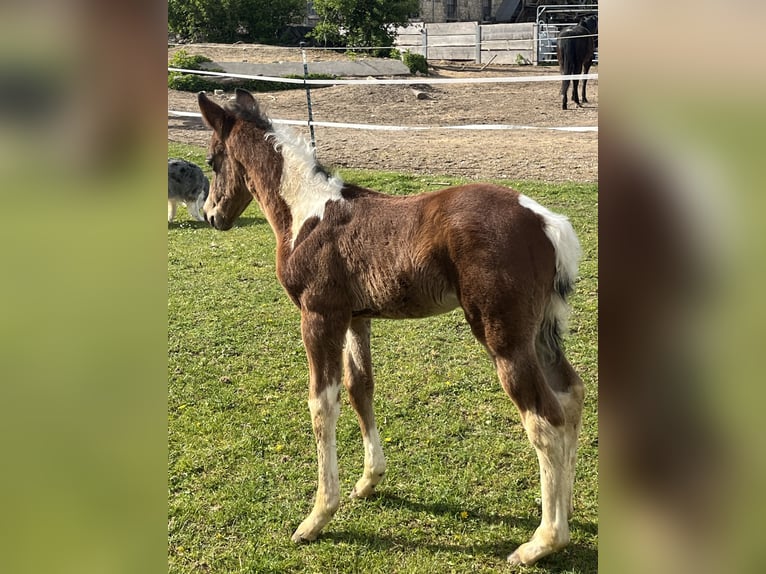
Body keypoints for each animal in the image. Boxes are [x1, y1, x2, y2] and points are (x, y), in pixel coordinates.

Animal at [198, 90, 588, 568]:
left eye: (213, 159)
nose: (211, 215)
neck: (308, 214)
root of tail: (547, 222)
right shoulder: (356, 318)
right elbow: (359, 388)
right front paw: (368, 481)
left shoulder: (319, 316)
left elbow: (321, 405)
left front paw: (317, 517)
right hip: (542, 332)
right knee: (571, 396)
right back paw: (566, 509)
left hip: (506, 338)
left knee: (544, 419)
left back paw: (542, 541)